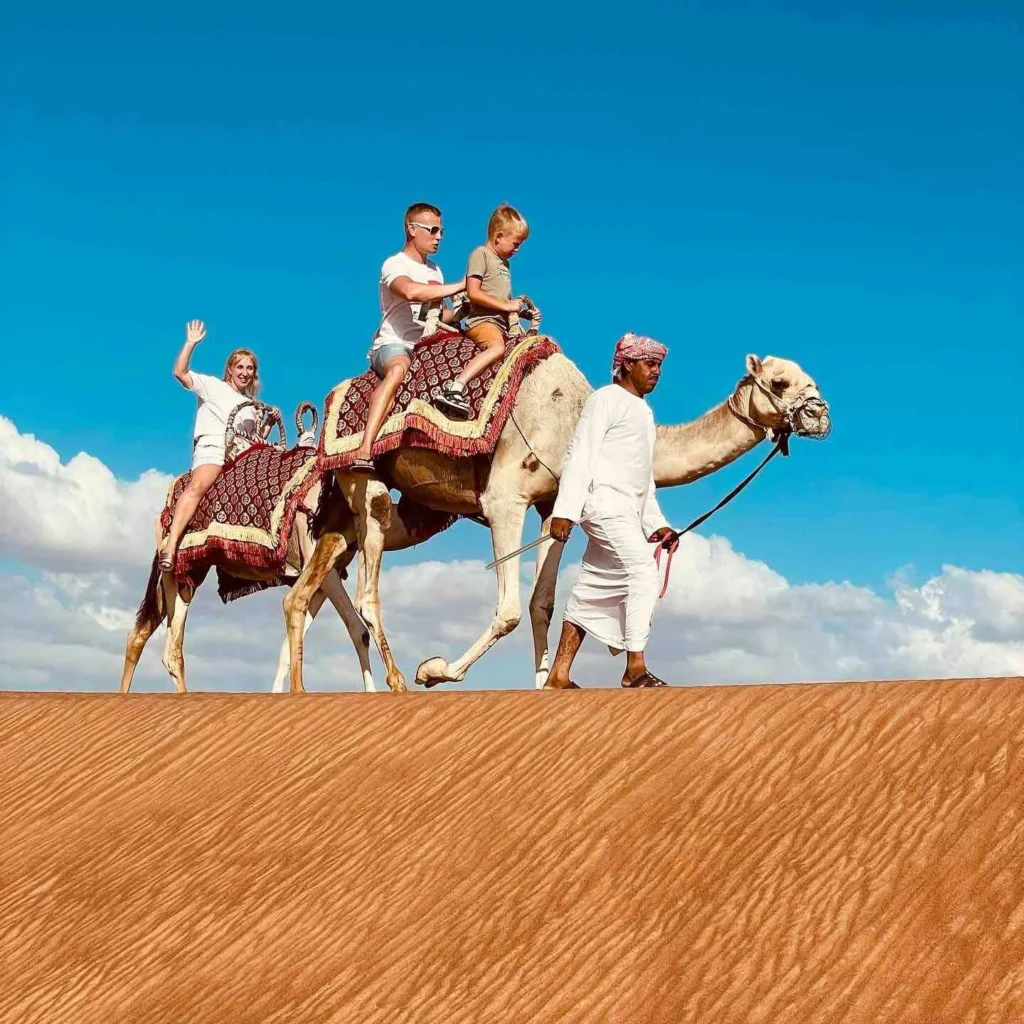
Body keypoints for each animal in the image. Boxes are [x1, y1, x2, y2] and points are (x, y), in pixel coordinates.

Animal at [284, 349, 831, 693]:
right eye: (780, 382)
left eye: (811, 377)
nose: (821, 414)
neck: (573, 415)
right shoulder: (504, 499)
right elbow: (508, 608)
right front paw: (436, 671)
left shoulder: (553, 506)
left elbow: (541, 603)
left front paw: (547, 682)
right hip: (363, 477)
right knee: (366, 586)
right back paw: (398, 681)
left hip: (371, 509)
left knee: (313, 580)